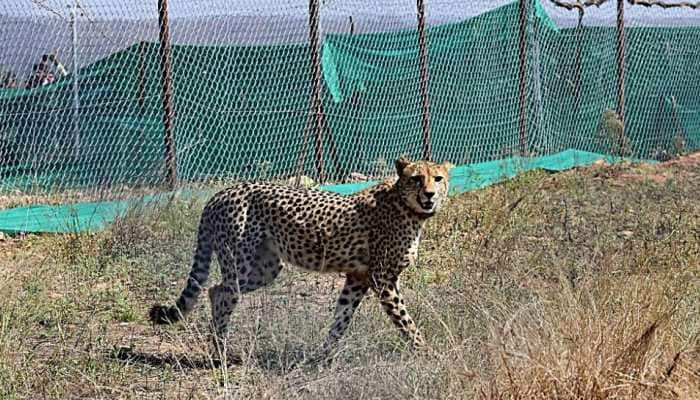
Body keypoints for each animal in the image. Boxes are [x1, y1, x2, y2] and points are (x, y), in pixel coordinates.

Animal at [149, 155, 454, 360]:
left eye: (437, 178)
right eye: (416, 178)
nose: (429, 194)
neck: (406, 206)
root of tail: (220, 194)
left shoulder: (358, 278)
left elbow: (341, 318)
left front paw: (324, 356)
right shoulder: (383, 279)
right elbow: (405, 320)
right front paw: (426, 352)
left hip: (266, 268)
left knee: (215, 290)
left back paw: (219, 347)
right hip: (241, 263)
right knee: (223, 293)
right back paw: (221, 352)